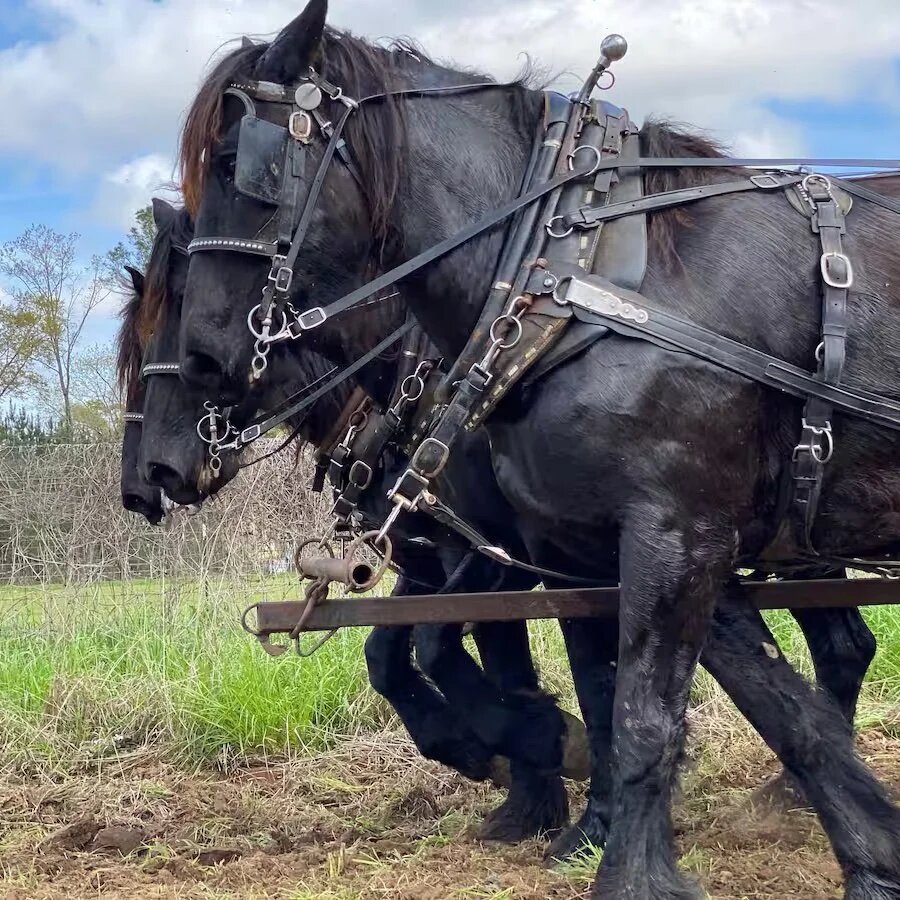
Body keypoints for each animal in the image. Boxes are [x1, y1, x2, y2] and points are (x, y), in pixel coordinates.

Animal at [170, 5, 900, 896]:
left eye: (238, 163)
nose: (205, 356)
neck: (572, 275)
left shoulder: (676, 535)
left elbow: (643, 715)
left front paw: (626, 871)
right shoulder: (630, 546)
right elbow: (770, 707)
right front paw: (871, 854)